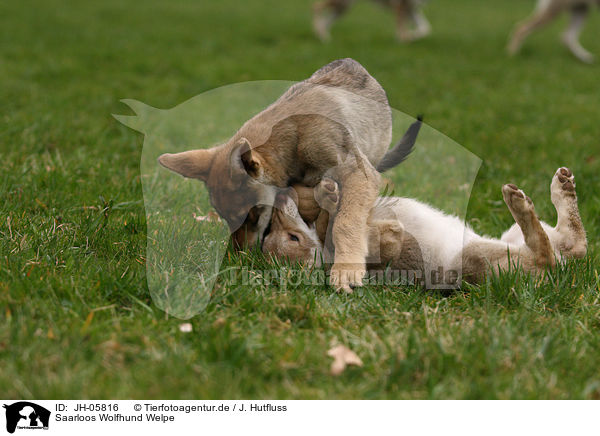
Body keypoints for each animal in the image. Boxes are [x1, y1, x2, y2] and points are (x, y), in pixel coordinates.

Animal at [262, 167, 584, 290]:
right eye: (292, 238)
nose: (278, 200)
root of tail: (557, 277)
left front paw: (326, 193)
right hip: (474, 256)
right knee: (548, 253)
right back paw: (519, 202)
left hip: (510, 236)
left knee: (574, 243)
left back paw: (563, 187)